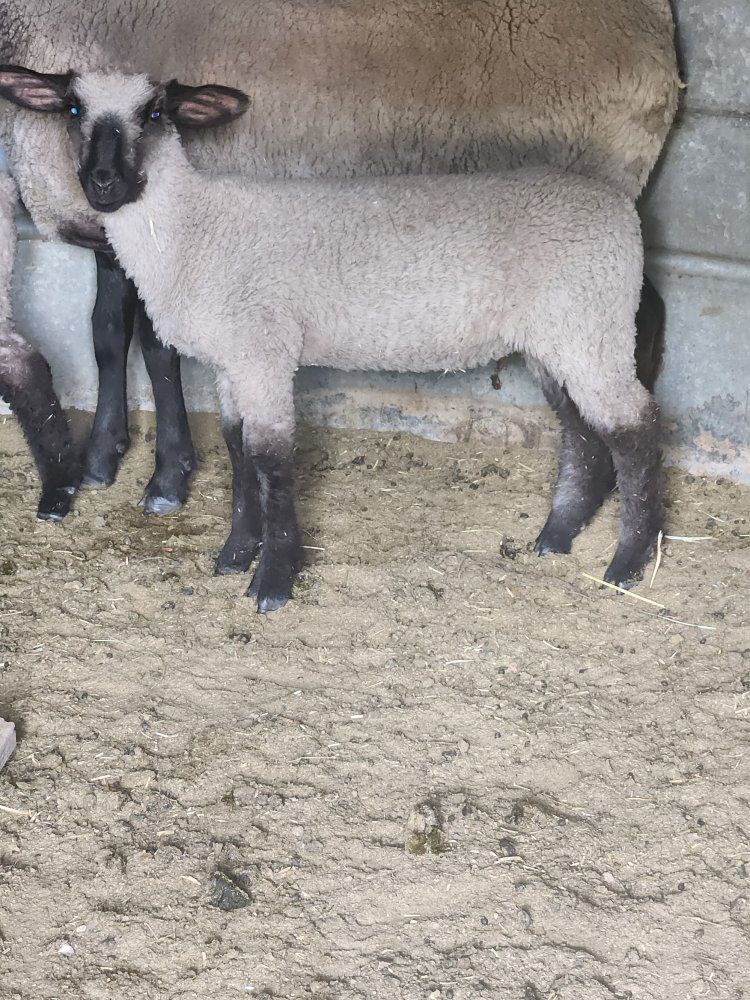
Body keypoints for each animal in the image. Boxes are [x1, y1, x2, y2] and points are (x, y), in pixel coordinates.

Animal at [0, 68, 663, 611]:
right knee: (583, 433)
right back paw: (556, 537)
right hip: (557, 339)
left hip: (593, 323)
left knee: (636, 427)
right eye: (74, 110)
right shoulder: (231, 359)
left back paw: (628, 564)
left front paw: (272, 582)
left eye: (156, 112)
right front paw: (235, 554)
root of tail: (619, 208)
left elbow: (271, 457)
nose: (102, 183)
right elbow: (238, 450)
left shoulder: (263, 348)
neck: (192, 227)